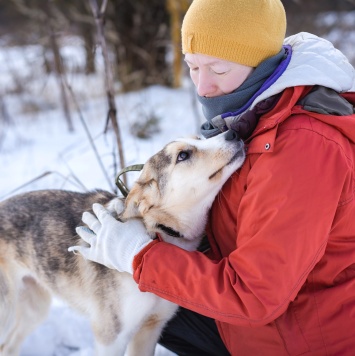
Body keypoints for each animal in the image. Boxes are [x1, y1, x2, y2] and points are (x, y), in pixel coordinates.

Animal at [0, 131, 245, 356]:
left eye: (200, 138)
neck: (157, 232)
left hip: (35, 308)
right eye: (183, 155)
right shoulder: (111, 337)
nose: (232, 133)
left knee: (9, 346)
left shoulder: (151, 328)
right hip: (8, 311)